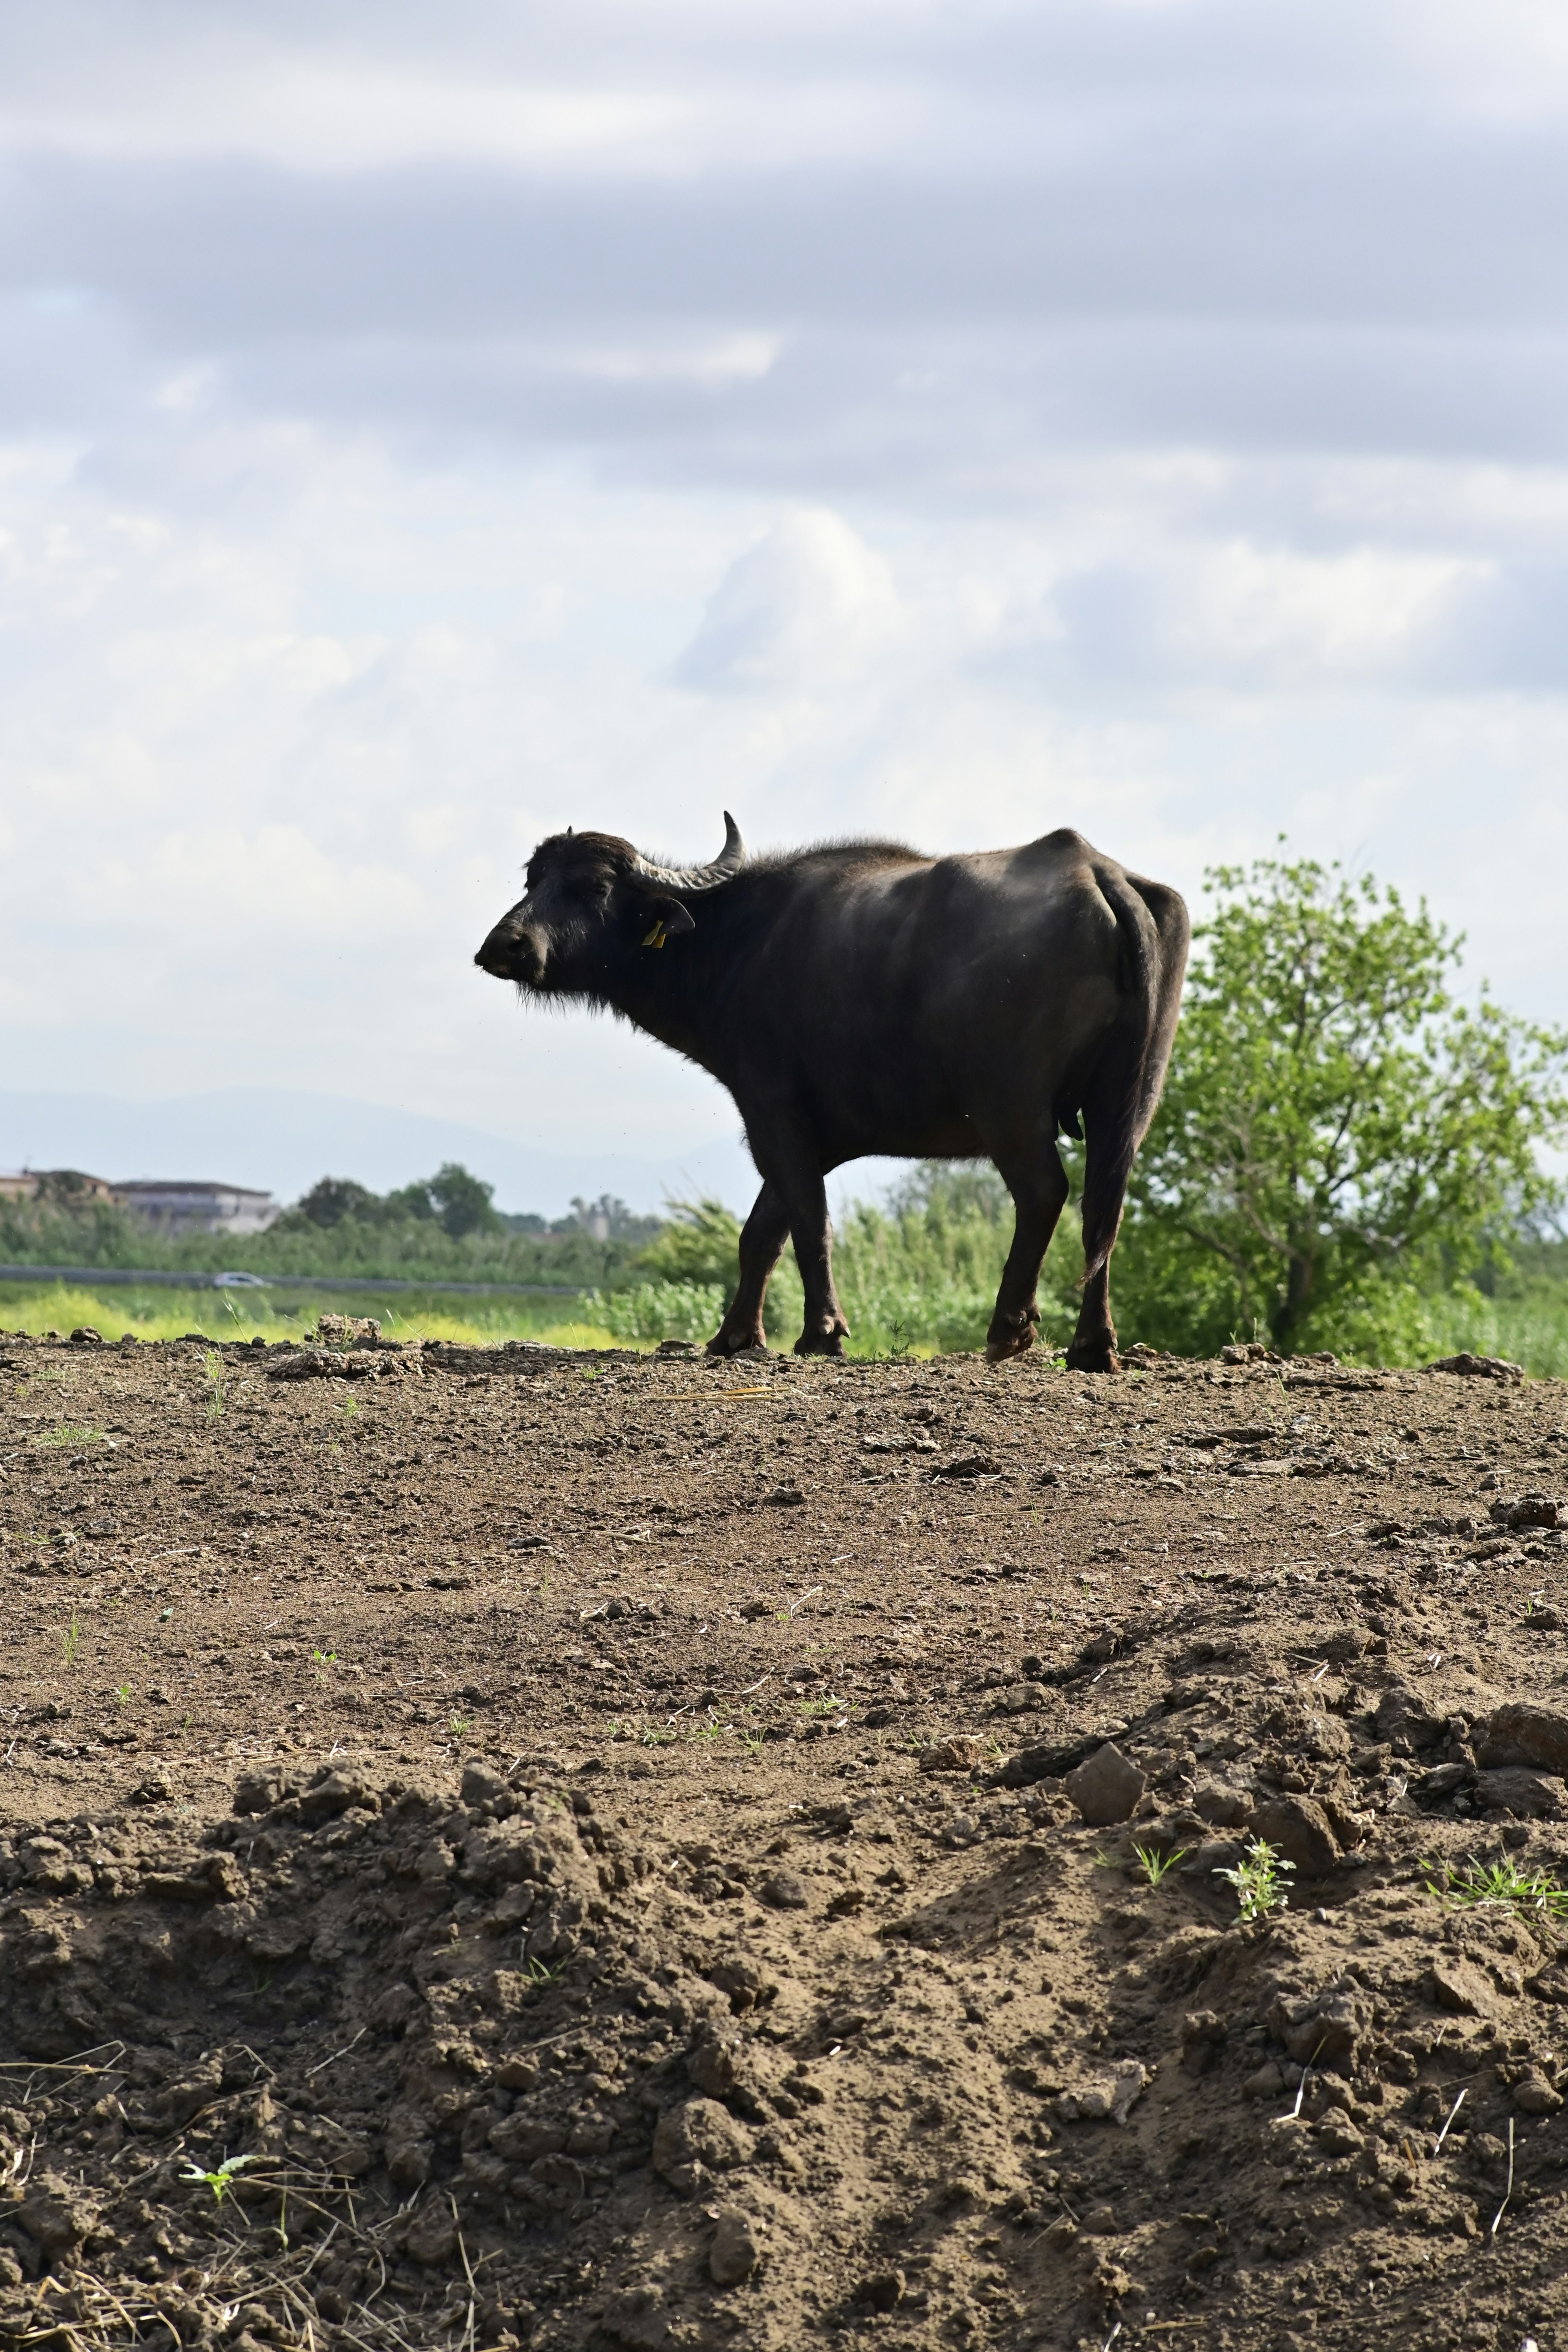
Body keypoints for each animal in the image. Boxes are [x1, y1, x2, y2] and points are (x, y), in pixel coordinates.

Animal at [476, 816, 1187, 1371]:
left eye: (593, 888)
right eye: (533, 880)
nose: (505, 945)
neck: (737, 943)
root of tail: (1097, 874)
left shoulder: (771, 1107)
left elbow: (806, 1222)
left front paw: (820, 1333)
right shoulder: (815, 1134)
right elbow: (763, 1231)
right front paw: (735, 1335)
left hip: (1009, 1104)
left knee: (1044, 1192)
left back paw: (1008, 1329)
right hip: (1129, 1098)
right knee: (1105, 1204)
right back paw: (1093, 1345)